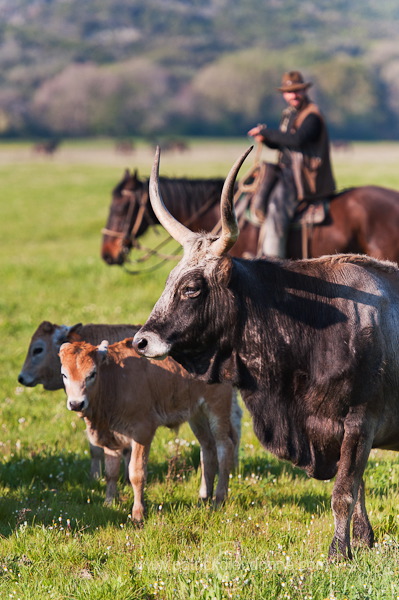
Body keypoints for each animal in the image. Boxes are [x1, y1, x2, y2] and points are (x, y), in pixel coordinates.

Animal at [59, 338, 241, 520]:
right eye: (64, 374)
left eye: (92, 373)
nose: (76, 403)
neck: (115, 380)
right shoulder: (110, 437)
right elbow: (111, 473)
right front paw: (109, 503)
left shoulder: (142, 432)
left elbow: (136, 472)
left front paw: (138, 514)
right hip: (197, 414)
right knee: (207, 448)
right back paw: (204, 497)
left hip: (217, 408)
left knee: (225, 447)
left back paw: (219, 499)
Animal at [133, 148, 399, 560]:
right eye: (168, 281)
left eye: (192, 287)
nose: (142, 341)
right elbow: (359, 487)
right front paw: (363, 540)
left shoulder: (360, 422)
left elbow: (343, 491)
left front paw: (338, 552)